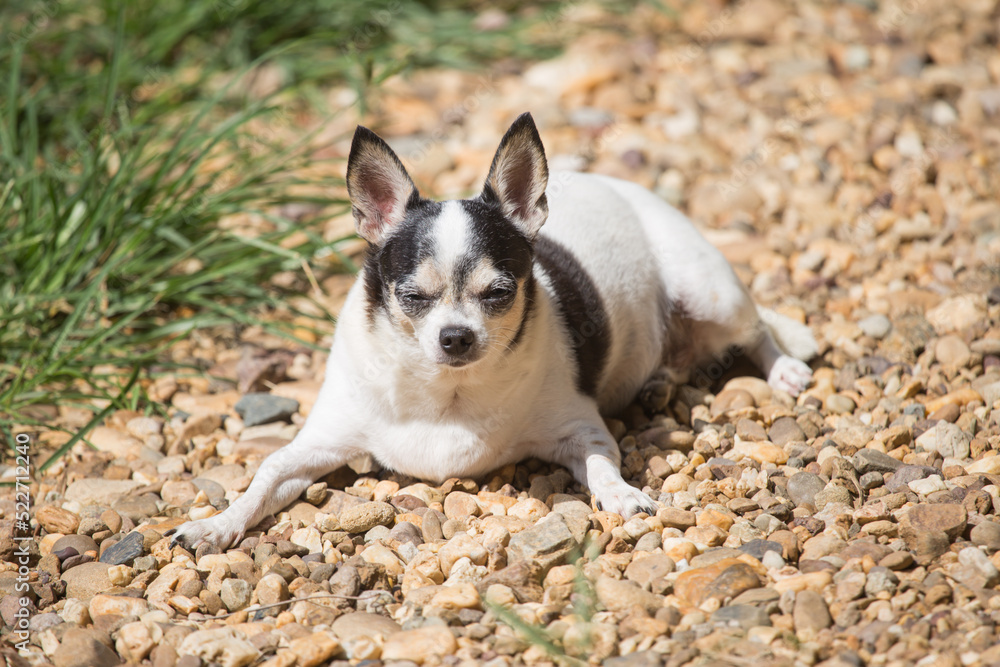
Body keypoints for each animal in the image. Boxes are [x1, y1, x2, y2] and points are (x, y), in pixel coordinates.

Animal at [170, 112, 812, 548]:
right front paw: (216, 525)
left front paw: (623, 495)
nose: (455, 336)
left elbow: (603, 465)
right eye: (413, 297)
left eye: (498, 294)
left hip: (710, 292)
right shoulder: (318, 444)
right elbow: (267, 473)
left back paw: (784, 369)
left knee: (756, 329)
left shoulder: (581, 432)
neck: (445, 393)